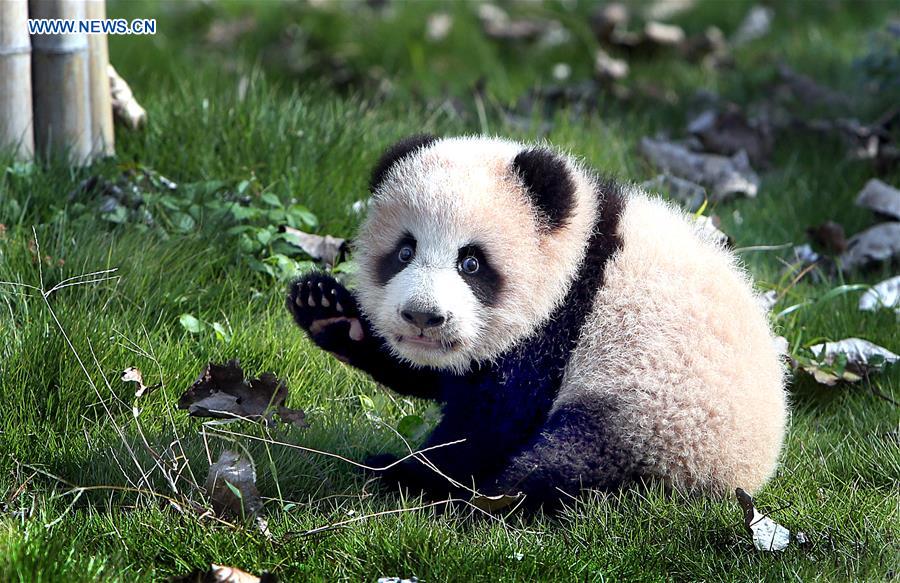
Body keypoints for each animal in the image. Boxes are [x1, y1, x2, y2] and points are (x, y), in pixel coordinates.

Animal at [288, 135, 788, 507]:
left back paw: (468, 495)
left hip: (658, 422)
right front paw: (328, 310)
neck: (579, 247)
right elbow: (442, 376)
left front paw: (410, 471)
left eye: (471, 262)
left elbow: (492, 422)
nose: (423, 317)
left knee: (568, 463)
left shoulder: (558, 330)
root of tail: (745, 478)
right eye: (404, 251)